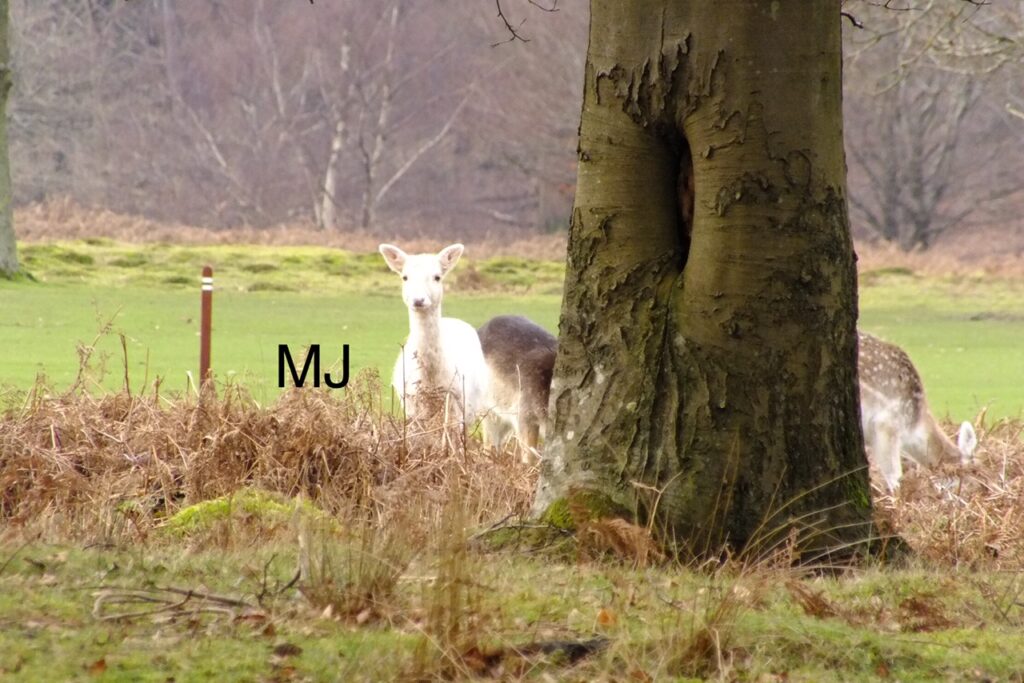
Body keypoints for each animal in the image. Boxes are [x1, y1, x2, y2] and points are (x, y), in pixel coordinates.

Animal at [379, 243, 489, 429]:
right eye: (405, 277)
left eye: (437, 277)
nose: (418, 300)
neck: (431, 382)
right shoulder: (413, 410)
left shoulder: (456, 407)